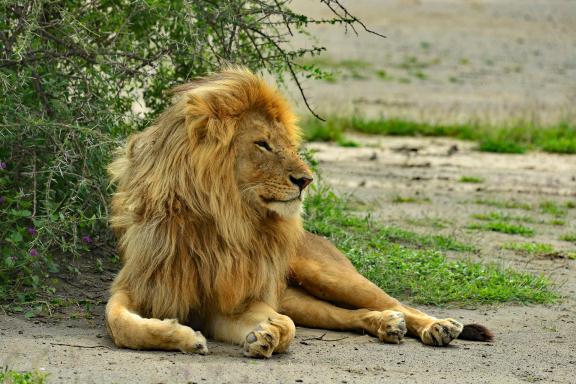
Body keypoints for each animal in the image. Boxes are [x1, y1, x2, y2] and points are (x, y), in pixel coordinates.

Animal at [106, 67, 492, 358]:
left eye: (289, 145)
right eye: (263, 144)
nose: (306, 180)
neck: (225, 218)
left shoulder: (236, 300)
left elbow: (286, 326)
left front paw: (267, 334)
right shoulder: (140, 285)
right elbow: (120, 324)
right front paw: (187, 337)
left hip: (330, 275)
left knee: (396, 301)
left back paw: (437, 326)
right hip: (300, 299)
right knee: (350, 315)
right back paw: (387, 324)